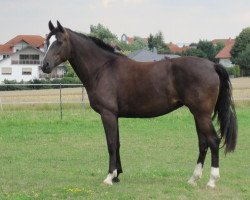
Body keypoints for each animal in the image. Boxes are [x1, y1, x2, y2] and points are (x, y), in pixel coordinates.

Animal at [42, 21, 237, 188]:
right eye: (46, 41)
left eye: (59, 41)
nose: (45, 65)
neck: (102, 68)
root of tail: (212, 65)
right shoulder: (115, 115)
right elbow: (117, 143)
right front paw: (117, 175)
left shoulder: (108, 114)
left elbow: (111, 144)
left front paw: (109, 177)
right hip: (198, 114)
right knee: (203, 143)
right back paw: (193, 178)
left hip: (202, 114)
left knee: (213, 141)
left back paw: (211, 181)